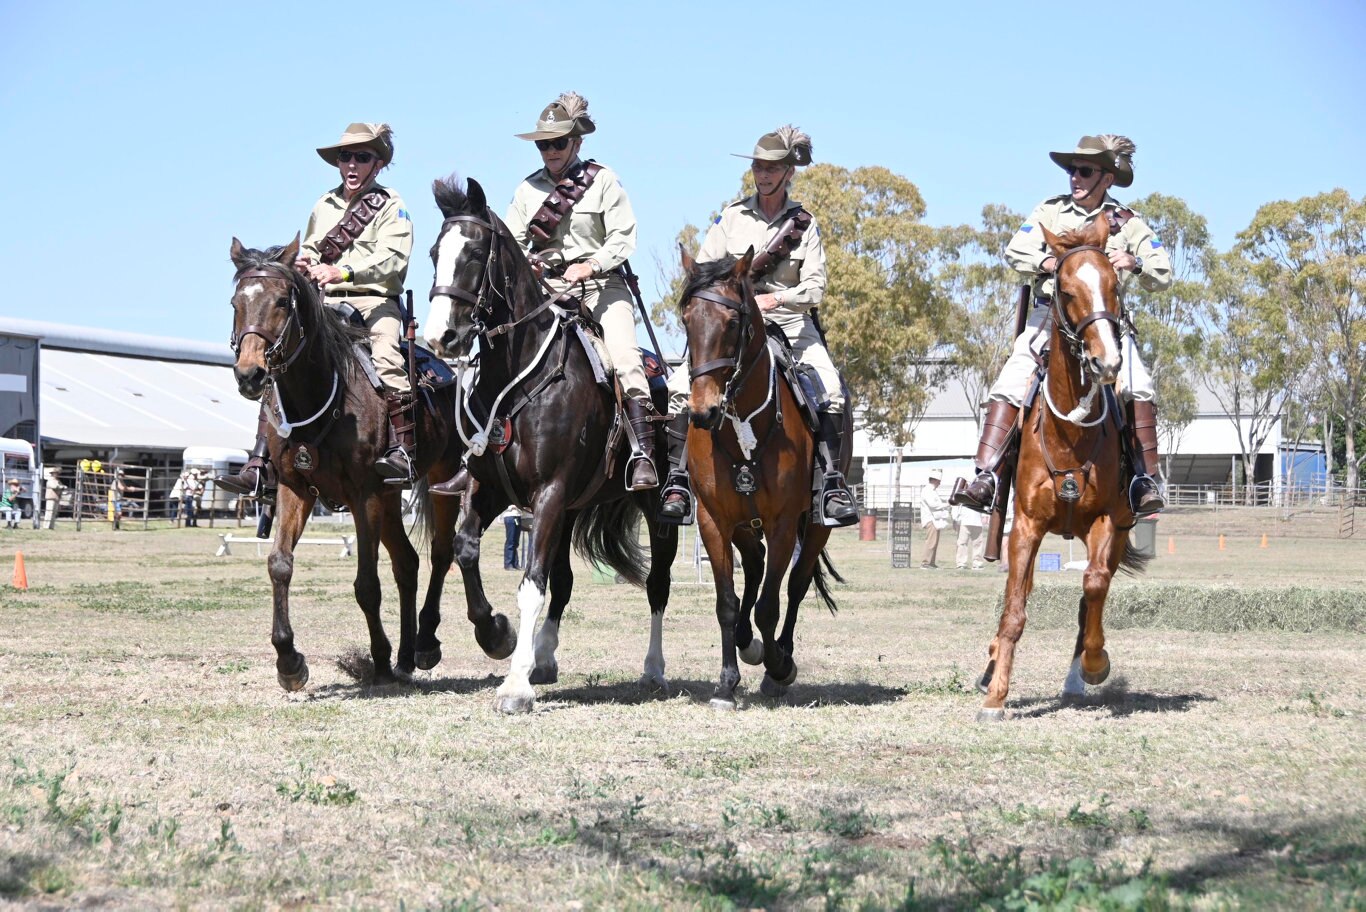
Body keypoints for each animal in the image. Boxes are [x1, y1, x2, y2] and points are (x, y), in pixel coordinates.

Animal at [226, 238, 467, 688]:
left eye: (282, 301)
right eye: (236, 302)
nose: (250, 375)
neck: (320, 395)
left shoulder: (363, 495)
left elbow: (367, 584)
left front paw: (379, 659)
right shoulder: (295, 490)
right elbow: (279, 564)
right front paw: (289, 661)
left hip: (439, 478)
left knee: (441, 553)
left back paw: (422, 647)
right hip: (390, 497)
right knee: (407, 563)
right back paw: (406, 656)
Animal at [412, 176, 674, 709]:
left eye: (474, 252)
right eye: (433, 252)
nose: (442, 337)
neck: (519, 373)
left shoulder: (549, 493)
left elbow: (532, 584)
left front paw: (515, 685)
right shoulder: (493, 490)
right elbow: (466, 549)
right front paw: (496, 635)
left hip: (658, 510)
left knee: (657, 585)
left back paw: (653, 668)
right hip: (573, 508)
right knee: (566, 581)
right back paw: (545, 657)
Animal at [674, 249, 835, 709]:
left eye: (733, 323)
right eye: (686, 319)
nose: (703, 412)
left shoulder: (782, 523)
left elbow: (770, 604)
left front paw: (779, 665)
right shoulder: (713, 521)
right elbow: (727, 602)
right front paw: (726, 683)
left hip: (814, 526)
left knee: (795, 585)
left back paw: (778, 657)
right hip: (745, 526)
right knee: (754, 564)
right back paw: (749, 644)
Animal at [972, 217, 1152, 720]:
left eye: (1114, 287)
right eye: (1067, 291)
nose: (1108, 361)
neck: (1068, 431)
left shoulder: (1107, 522)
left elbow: (1092, 589)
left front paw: (1094, 664)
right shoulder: (1025, 527)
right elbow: (1014, 607)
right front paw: (996, 694)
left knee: (1095, 590)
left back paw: (1078, 674)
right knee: (1020, 593)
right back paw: (991, 666)